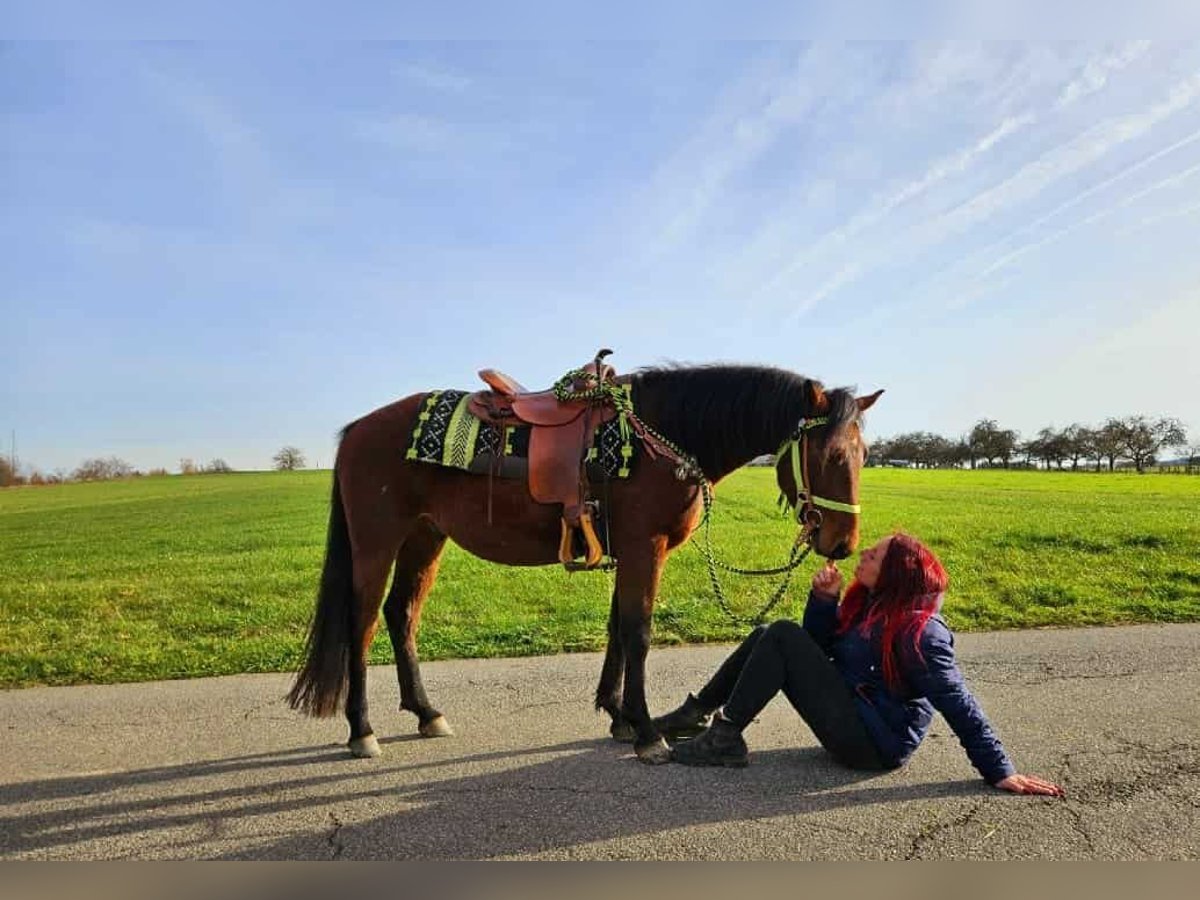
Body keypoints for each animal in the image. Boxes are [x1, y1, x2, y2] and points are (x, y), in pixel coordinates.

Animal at [286, 362, 881, 764]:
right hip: (377, 543)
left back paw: (427, 713)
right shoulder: (645, 548)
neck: (663, 436)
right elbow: (638, 633)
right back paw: (362, 730)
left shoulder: (630, 553)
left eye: (864, 456)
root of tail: (358, 429)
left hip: (424, 538)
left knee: (401, 615)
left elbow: (618, 629)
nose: (843, 542)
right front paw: (647, 733)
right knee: (362, 624)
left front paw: (620, 717)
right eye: (831, 454)